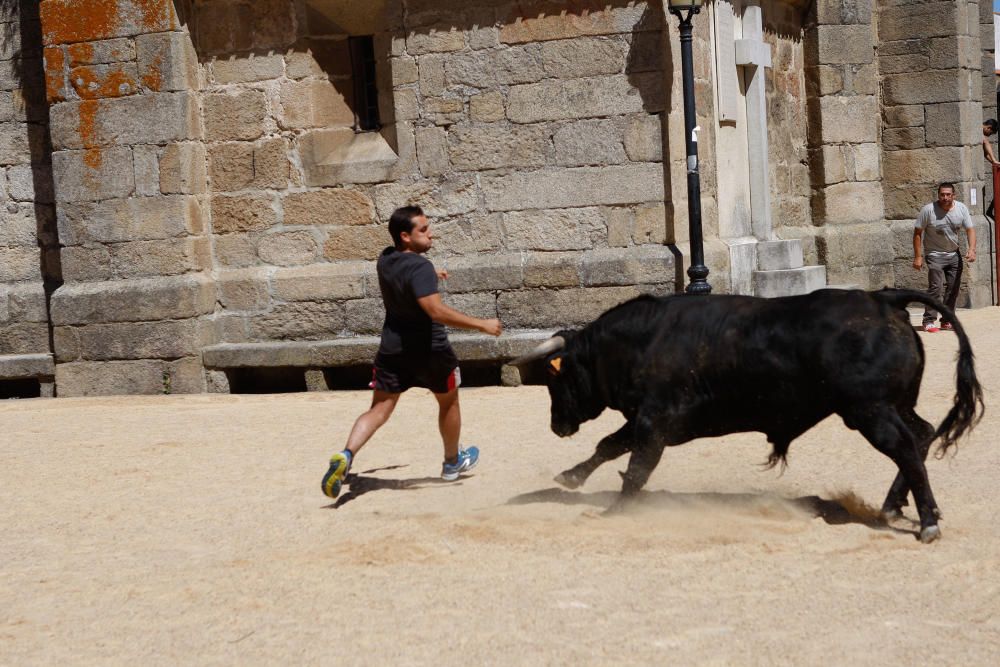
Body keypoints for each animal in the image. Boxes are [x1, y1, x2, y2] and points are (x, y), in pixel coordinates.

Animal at [516, 288, 984, 544]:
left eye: (556, 379)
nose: (556, 425)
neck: (642, 340)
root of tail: (882, 298)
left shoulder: (656, 422)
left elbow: (634, 467)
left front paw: (614, 511)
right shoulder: (650, 422)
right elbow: (609, 446)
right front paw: (571, 477)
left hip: (871, 412)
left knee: (905, 448)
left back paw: (927, 522)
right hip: (895, 406)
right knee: (921, 435)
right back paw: (894, 506)